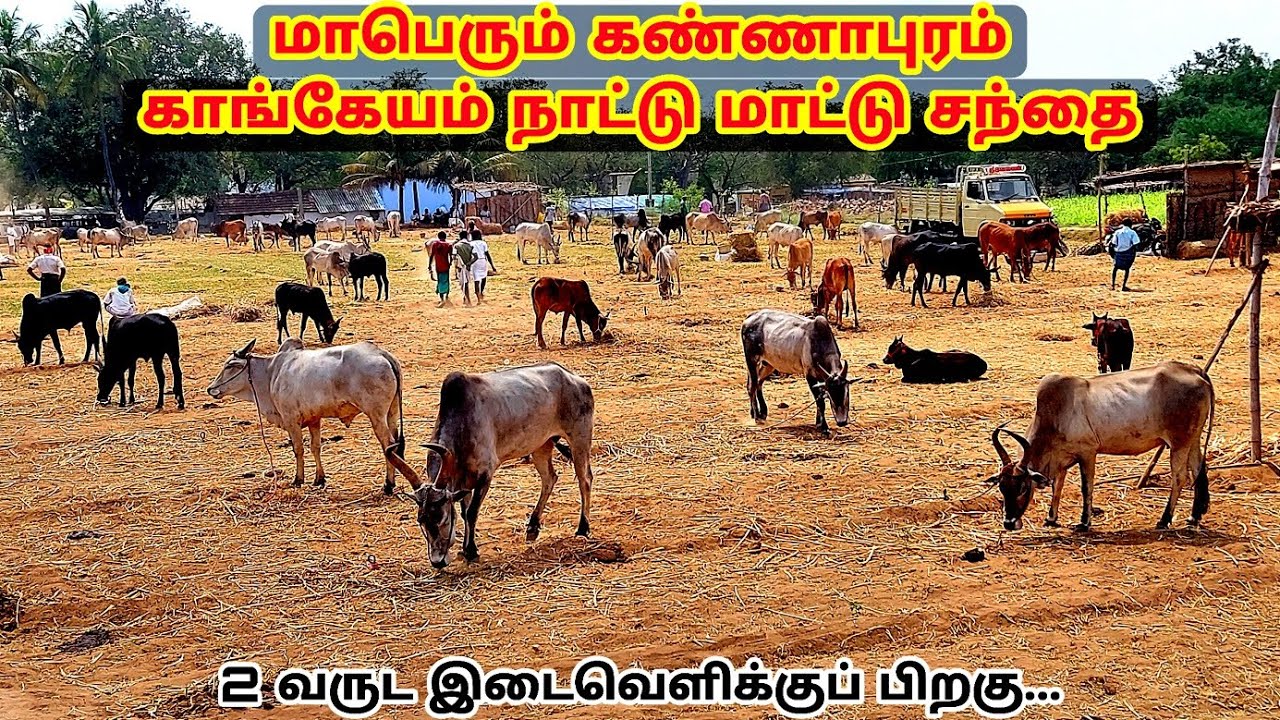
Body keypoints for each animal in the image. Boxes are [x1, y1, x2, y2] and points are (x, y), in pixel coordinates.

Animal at [207, 339, 407, 492]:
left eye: (230, 366)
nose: (211, 389)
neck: (271, 373)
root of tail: (382, 354)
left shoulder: (291, 420)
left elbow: (299, 449)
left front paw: (298, 479)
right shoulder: (314, 420)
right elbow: (315, 447)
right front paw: (319, 479)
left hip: (376, 415)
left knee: (389, 445)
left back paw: (388, 485)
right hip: (391, 413)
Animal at [380, 363, 595, 568]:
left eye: (444, 518)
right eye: (421, 520)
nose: (437, 561)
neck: (462, 423)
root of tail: (575, 379)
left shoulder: (485, 475)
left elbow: (472, 513)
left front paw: (471, 551)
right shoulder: (463, 482)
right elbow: (465, 512)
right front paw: (466, 548)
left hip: (579, 440)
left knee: (585, 479)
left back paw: (583, 527)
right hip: (541, 446)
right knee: (549, 478)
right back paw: (533, 527)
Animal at [988, 361, 1214, 532]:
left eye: (1022, 488)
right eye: (1001, 487)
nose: (1009, 523)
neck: (1053, 416)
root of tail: (1193, 369)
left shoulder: (1087, 453)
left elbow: (1086, 487)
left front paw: (1084, 523)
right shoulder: (1061, 460)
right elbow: (1057, 486)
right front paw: (1051, 518)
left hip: (1179, 443)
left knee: (1180, 477)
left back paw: (1164, 519)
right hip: (1192, 439)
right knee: (1198, 470)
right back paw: (1194, 517)